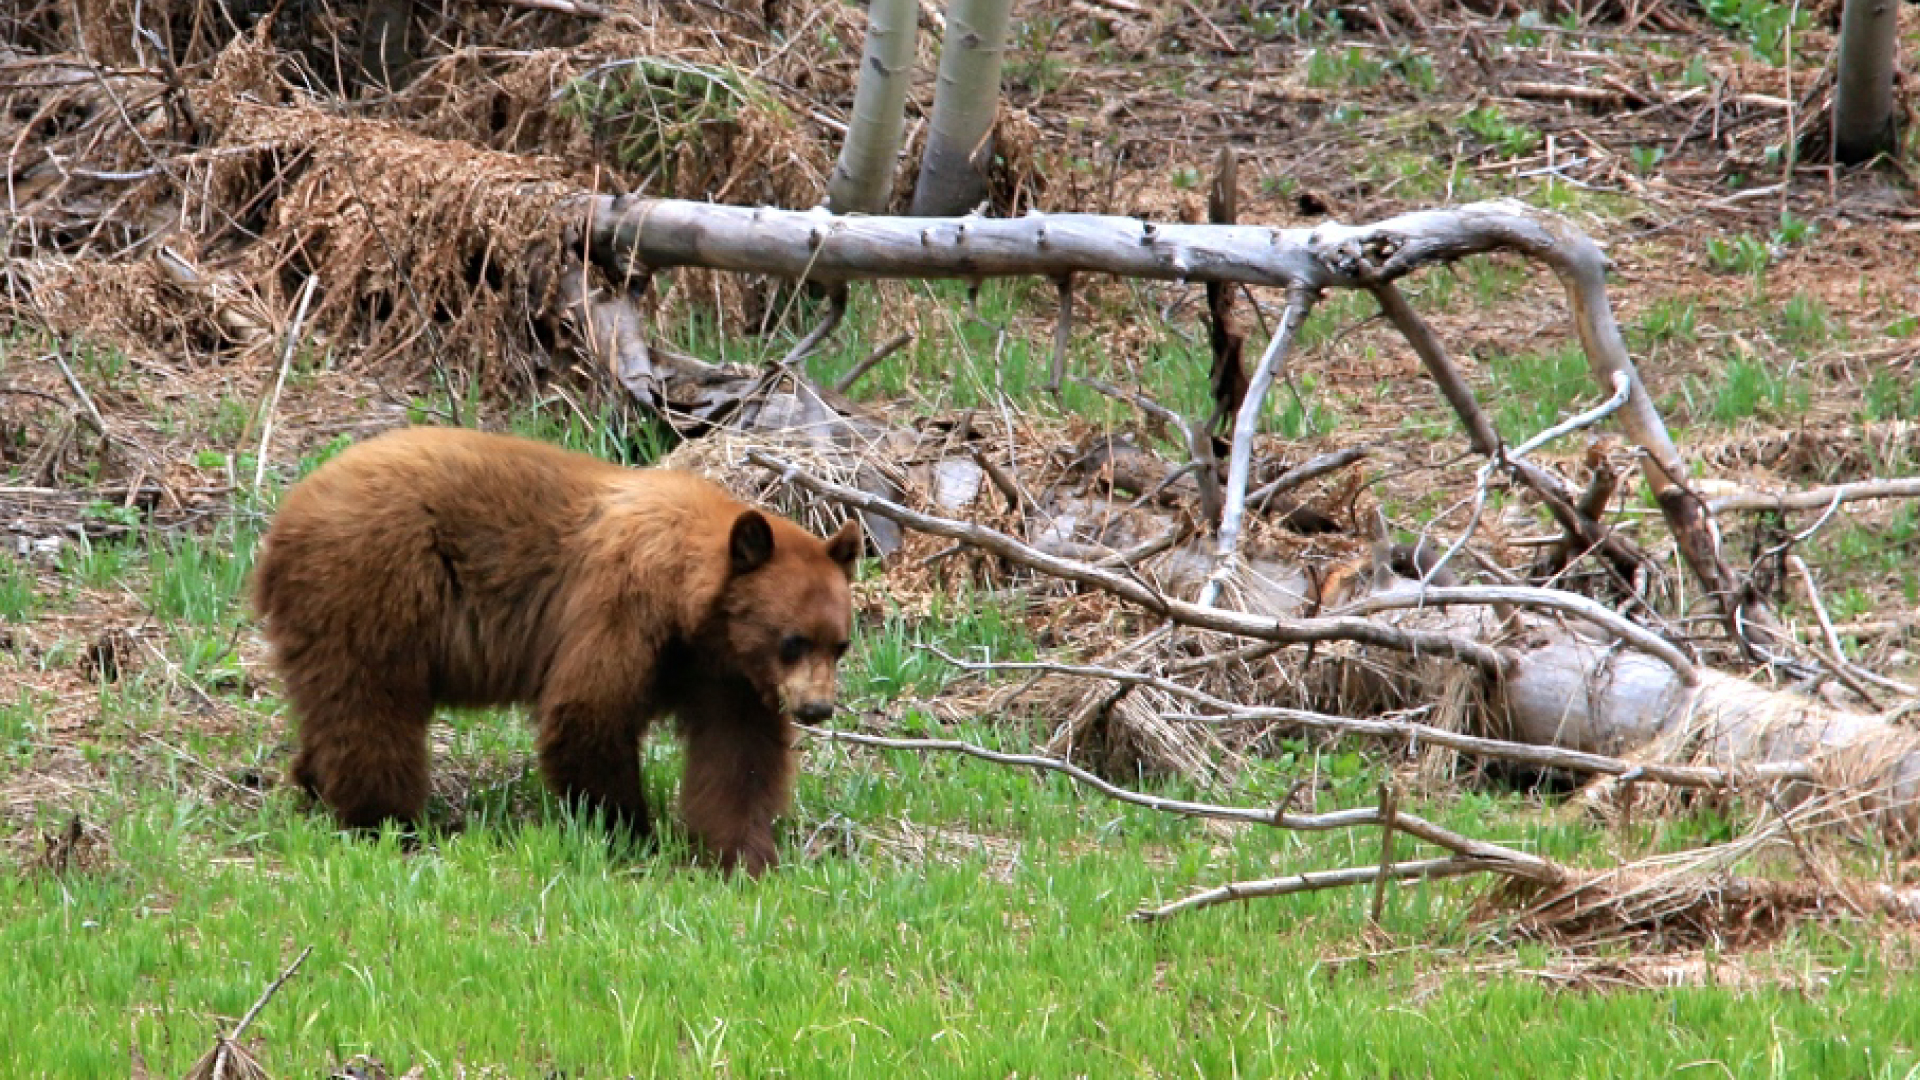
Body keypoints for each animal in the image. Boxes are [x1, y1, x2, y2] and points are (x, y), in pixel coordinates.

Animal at [252, 426, 860, 875]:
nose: (817, 708)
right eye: (792, 641)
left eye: (841, 644)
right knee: (370, 705)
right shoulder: (621, 606)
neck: (693, 609)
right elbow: (588, 711)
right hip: (372, 584)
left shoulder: (724, 670)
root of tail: (283, 521)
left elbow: (739, 754)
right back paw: (386, 820)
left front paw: (744, 854)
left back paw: (317, 788)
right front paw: (628, 830)